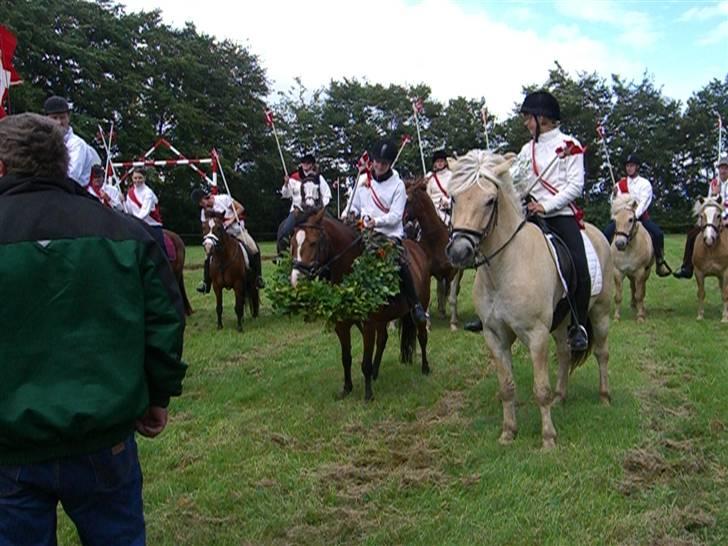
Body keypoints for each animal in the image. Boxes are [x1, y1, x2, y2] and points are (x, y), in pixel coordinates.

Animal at [288, 208, 430, 400]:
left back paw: (425, 368)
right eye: (292, 243)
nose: (297, 281)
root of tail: (418, 250)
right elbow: (346, 357)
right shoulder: (341, 324)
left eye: (313, 242)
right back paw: (376, 372)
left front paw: (368, 394)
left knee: (422, 336)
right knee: (383, 339)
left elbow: (365, 362)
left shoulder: (368, 324)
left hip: (421, 306)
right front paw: (347, 388)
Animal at [446, 149, 612, 446]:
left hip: (601, 313)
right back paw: (560, 397)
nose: (459, 251)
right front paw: (508, 433)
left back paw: (604, 398)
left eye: (490, 200)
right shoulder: (495, 336)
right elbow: (507, 387)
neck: (505, 266)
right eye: (454, 198)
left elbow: (540, 389)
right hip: (562, 322)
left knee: (602, 353)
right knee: (565, 353)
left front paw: (548, 438)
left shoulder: (536, 335)